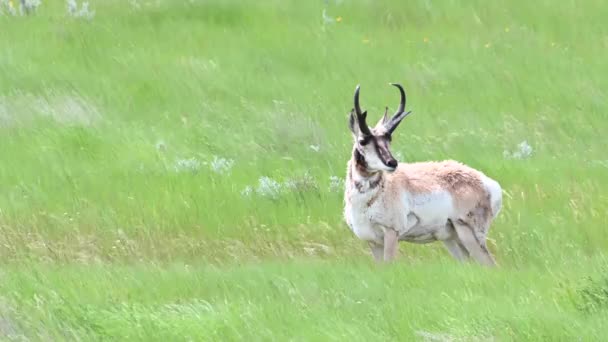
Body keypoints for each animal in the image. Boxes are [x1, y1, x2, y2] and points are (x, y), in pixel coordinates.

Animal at [344, 83, 502, 264]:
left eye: (388, 139)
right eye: (363, 141)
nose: (392, 163)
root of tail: (486, 182)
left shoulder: (391, 234)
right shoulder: (373, 242)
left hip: (469, 235)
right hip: (452, 240)